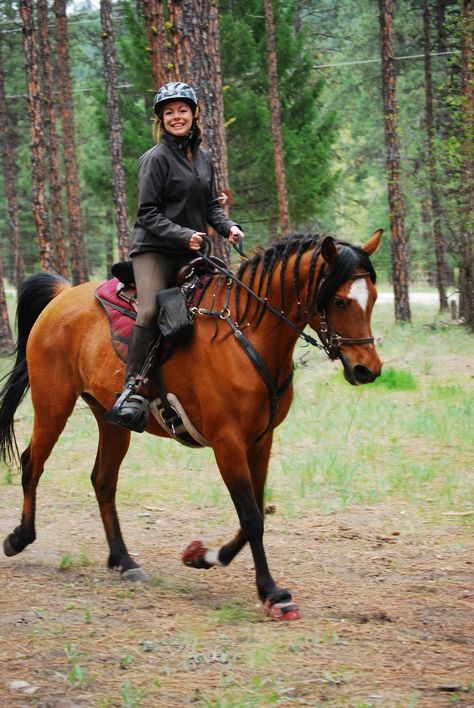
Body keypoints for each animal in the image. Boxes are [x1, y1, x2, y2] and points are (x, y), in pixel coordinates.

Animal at [0, 231, 382, 620]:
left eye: (373, 297)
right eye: (339, 301)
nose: (367, 370)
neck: (248, 335)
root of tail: (62, 294)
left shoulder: (260, 441)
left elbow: (255, 512)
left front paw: (203, 556)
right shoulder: (228, 443)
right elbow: (251, 516)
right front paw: (272, 592)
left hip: (112, 422)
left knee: (103, 481)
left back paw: (124, 561)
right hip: (53, 405)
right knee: (33, 463)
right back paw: (19, 537)